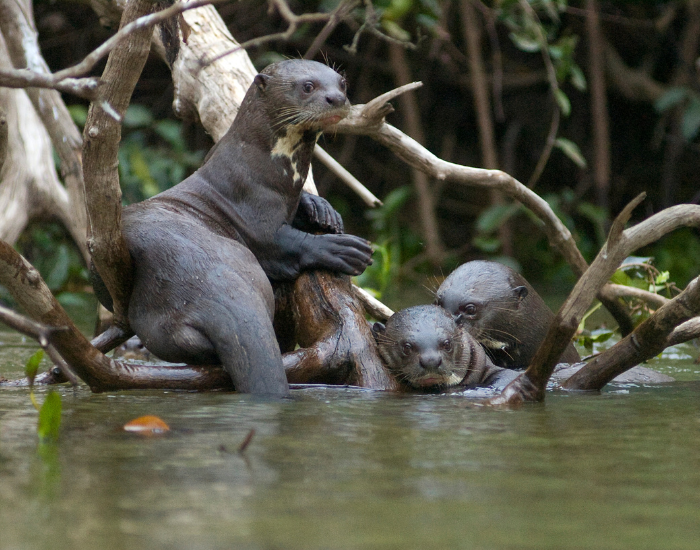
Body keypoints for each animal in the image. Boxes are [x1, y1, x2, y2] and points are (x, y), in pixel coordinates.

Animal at [94, 60, 373, 396]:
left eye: (342, 82)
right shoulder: (253, 211)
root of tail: (210, 289)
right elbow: (283, 243)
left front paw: (321, 209)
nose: (336, 99)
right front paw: (344, 248)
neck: (260, 166)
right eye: (308, 86)